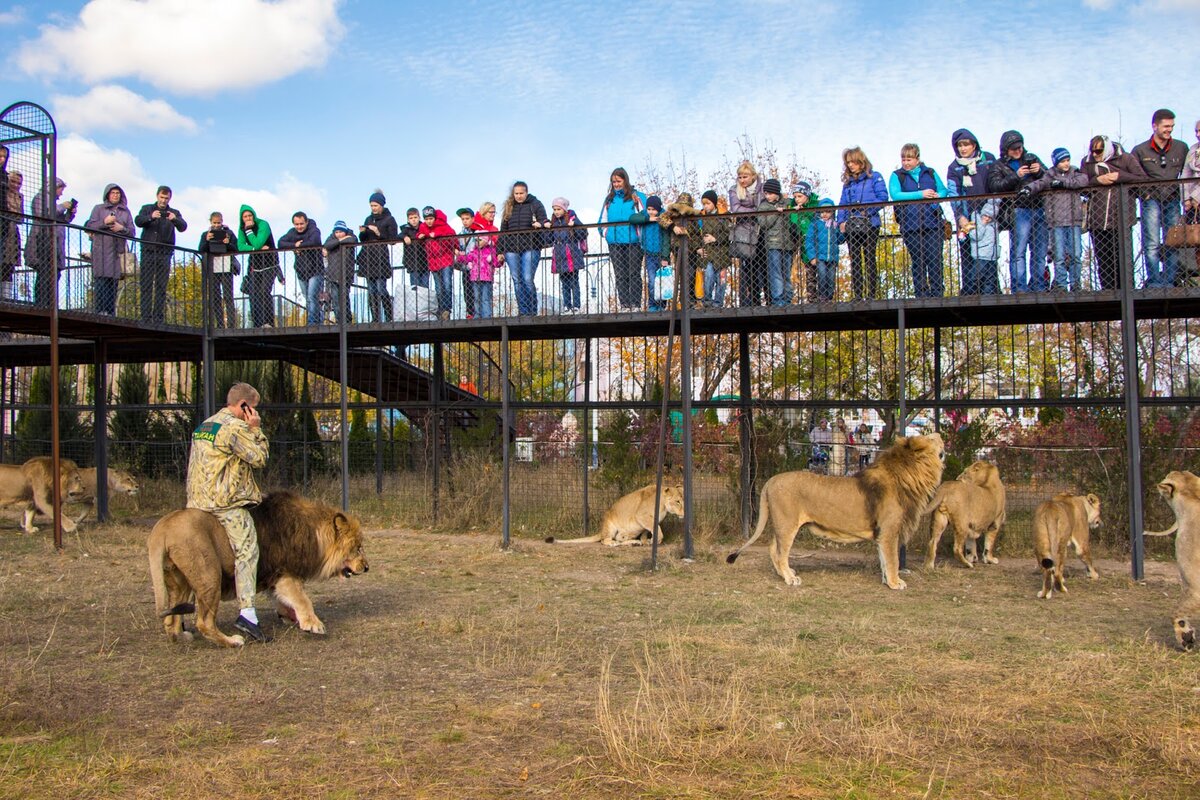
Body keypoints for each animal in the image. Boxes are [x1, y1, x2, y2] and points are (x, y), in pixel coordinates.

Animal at [147, 491, 367, 647]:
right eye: (357, 548)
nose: (366, 567)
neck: (312, 533)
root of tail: (162, 528)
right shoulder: (284, 573)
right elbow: (303, 599)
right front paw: (313, 624)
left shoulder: (275, 577)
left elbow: (284, 600)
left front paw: (290, 617)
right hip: (209, 575)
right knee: (204, 622)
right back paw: (233, 641)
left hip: (180, 581)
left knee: (171, 620)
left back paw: (181, 636)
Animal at [547, 484, 686, 546]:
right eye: (678, 501)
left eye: (683, 501)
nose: (684, 513)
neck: (663, 506)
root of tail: (601, 530)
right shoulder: (641, 516)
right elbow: (657, 529)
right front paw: (655, 541)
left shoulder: (648, 523)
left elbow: (648, 531)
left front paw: (646, 541)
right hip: (610, 526)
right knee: (605, 540)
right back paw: (614, 544)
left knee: (620, 538)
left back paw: (634, 543)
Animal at [724, 434, 940, 592]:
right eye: (931, 438)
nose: (939, 434)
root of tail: (771, 480)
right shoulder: (889, 530)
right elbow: (892, 559)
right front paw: (896, 583)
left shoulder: (882, 533)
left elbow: (884, 559)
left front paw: (888, 581)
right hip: (787, 524)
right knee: (780, 552)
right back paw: (790, 578)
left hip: (783, 524)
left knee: (772, 548)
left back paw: (783, 574)